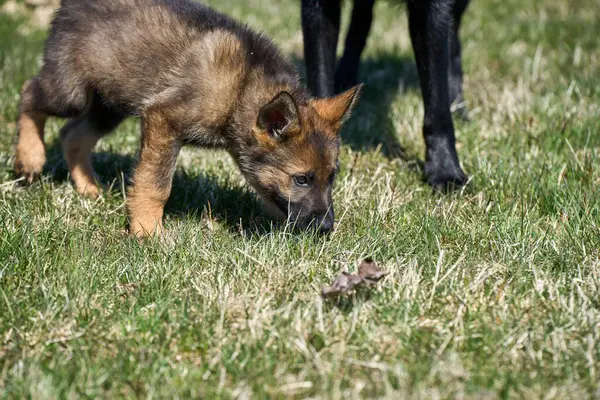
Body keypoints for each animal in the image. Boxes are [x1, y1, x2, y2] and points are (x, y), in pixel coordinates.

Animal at [14, 0, 360, 236]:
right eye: (301, 179)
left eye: (332, 176)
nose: (327, 228)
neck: (241, 89)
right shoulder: (162, 118)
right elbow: (156, 184)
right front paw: (147, 231)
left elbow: (265, 188)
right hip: (71, 93)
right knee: (29, 93)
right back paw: (30, 157)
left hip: (109, 105)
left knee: (73, 135)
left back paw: (88, 187)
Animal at [302, 0, 472, 191]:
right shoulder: (318, 9)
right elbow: (320, 83)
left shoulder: (432, 10)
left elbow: (438, 104)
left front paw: (445, 170)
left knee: (453, 41)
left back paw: (458, 106)